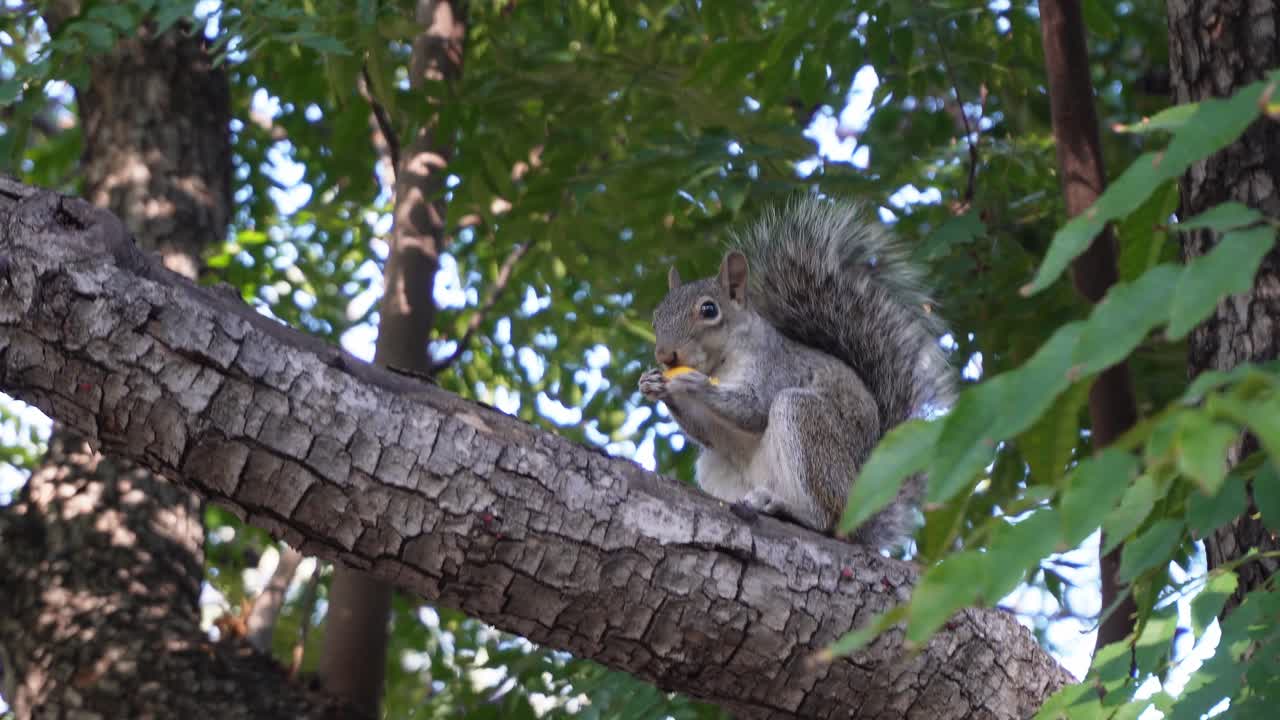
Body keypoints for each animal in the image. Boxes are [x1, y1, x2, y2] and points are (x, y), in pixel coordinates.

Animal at [639, 195, 954, 548]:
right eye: (656, 317)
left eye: (709, 310)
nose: (665, 355)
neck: (722, 360)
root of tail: (861, 520)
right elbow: (706, 432)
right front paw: (652, 384)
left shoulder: (774, 366)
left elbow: (755, 409)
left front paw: (695, 384)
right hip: (716, 465)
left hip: (807, 423)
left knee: (828, 519)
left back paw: (789, 509)